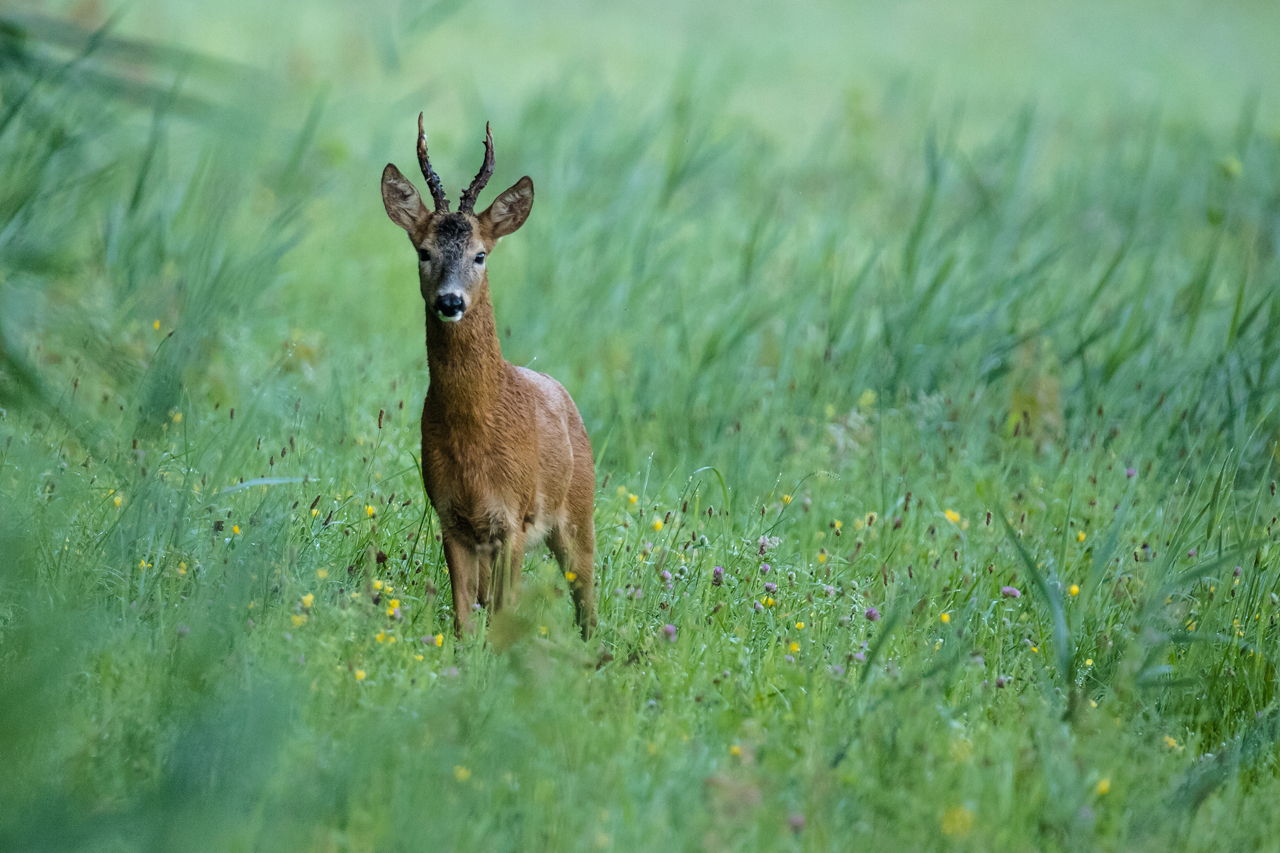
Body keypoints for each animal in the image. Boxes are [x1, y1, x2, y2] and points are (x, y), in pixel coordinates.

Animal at [378, 112, 599, 635]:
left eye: (480, 254)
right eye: (423, 251)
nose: (450, 301)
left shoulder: (512, 518)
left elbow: (502, 613)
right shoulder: (451, 517)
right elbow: (463, 618)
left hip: (578, 512)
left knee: (587, 597)